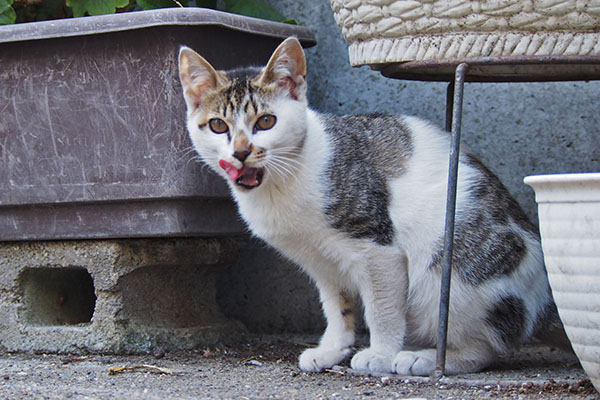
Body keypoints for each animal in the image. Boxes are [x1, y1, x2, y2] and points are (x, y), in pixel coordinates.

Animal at [178, 36, 564, 376]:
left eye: (266, 122)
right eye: (217, 125)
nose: (241, 152)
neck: (283, 180)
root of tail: (544, 300)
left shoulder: (377, 246)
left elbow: (383, 308)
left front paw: (380, 353)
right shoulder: (320, 260)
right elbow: (336, 305)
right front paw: (333, 348)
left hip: (452, 274)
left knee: (487, 345)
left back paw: (426, 359)